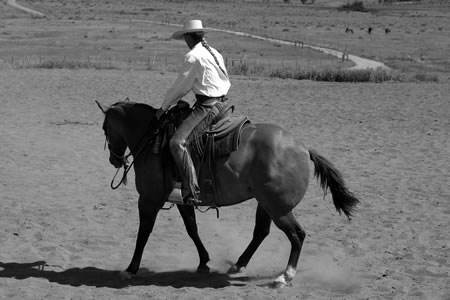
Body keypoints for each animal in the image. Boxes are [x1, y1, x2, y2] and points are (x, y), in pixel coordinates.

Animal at [95, 99, 358, 288]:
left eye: (105, 128)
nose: (114, 160)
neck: (152, 140)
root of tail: (303, 149)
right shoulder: (182, 200)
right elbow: (192, 228)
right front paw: (203, 262)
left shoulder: (148, 200)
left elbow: (143, 233)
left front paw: (130, 269)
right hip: (266, 204)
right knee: (261, 232)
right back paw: (239, 265)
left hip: (279, 208)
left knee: (297, 235)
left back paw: (285, 277)